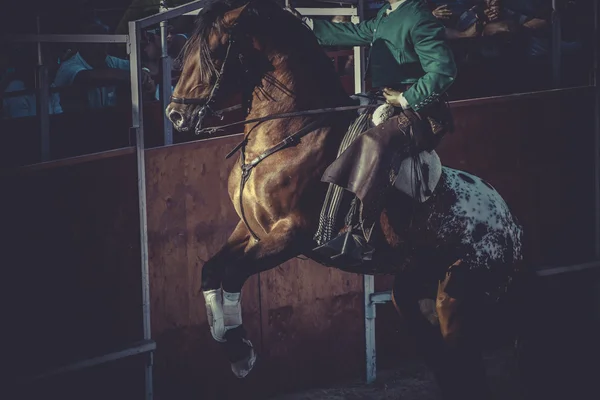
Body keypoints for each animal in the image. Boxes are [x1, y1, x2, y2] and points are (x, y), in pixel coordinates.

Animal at [166, 1, 528, 398]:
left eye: (215, 53)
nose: (176, 114)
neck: (291, 135)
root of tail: (512, 229)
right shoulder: (249, 229)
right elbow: (211, 270)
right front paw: (229, 340)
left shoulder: (289, 236)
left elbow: (232, 273)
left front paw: (241, 353)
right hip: (413, 293)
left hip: (456, 302)